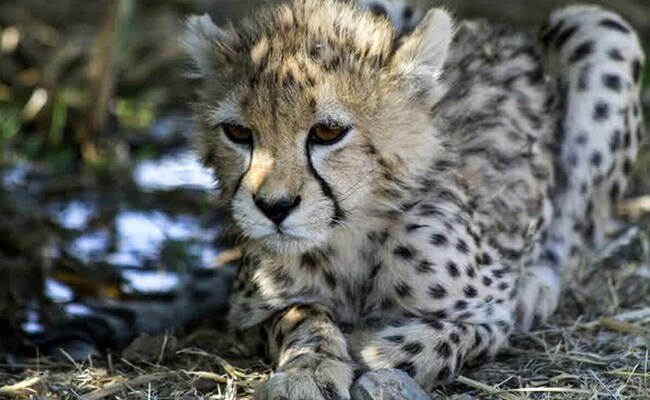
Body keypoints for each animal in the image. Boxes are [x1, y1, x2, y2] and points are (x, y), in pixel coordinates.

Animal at [183, 0, 645, 398]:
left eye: (328, 132)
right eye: (238, 133)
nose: (273, 207)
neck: (349, 236)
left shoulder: (492, 312)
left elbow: (449, 336)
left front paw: (371, 348)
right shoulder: (248, 313)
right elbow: (301, 315)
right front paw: (309, 369)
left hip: (599, 28)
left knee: (575, 237)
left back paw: (538, 286)